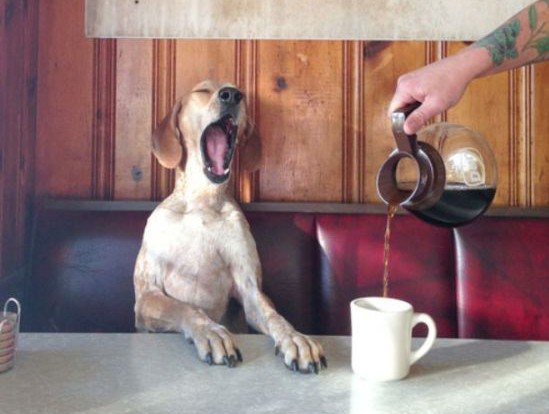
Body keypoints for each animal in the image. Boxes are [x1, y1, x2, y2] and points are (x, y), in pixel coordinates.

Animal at [134, 80, 326, 374]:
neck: (202, 202)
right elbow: (186, 308)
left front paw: (295, 337)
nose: (232, 95)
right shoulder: (147, 296)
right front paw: (211, 331)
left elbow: (274, 316)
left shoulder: (250, 289)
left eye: (237, 91)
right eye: (202, 91)